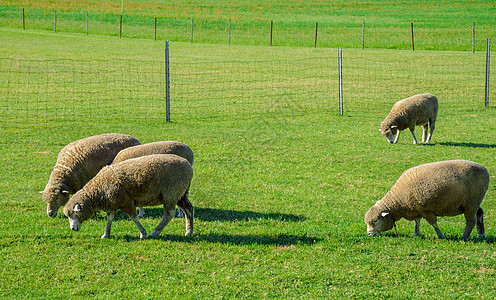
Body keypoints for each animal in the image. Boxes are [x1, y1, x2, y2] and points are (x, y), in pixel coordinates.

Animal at [62, 155, 194, 239]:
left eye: (73, 214)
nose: (72, 229)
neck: (98, 191)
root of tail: (188, 166)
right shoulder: (112, 204)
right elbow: (110, 219)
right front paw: (106, 234)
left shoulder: (126, 202)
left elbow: (133, 217)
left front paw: (143, 233)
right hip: (181, 193)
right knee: (188, 208)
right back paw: (189, 230)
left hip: (171, 193)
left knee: (169, 214)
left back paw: (156, 232)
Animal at [362, 159, 490, 241]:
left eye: (375, 221)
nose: (369, 234)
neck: (398, 201)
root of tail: (484, 170)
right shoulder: (416, 209)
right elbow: (417, 222)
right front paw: (416, 234)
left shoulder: (426, 210)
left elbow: (433, 223)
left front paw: (441, 236)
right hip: (474, 202)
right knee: (480, 213)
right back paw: (481, 234)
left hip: (471, 203)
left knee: (471, 221)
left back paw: (465, 237)